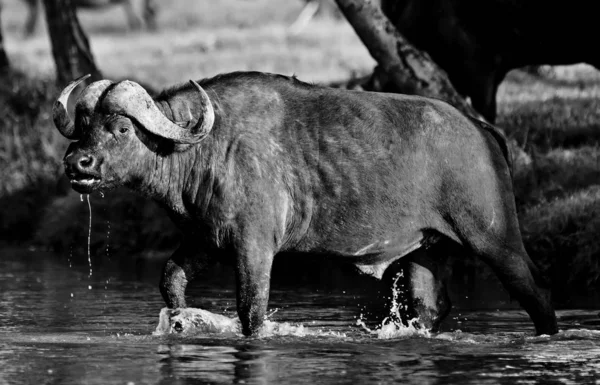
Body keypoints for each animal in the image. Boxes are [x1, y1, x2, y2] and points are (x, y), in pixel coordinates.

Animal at [51, 72, 556, 336]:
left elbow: (251, 310)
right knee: (430, 307)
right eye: (84, 125)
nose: (77, 163)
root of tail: (480, 130)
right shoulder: (206, 240)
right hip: (424, 252)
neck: (205, 147)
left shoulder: (254, 247)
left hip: (495, 239)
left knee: (537, 296)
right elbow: (170, 280)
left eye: (121, 128)